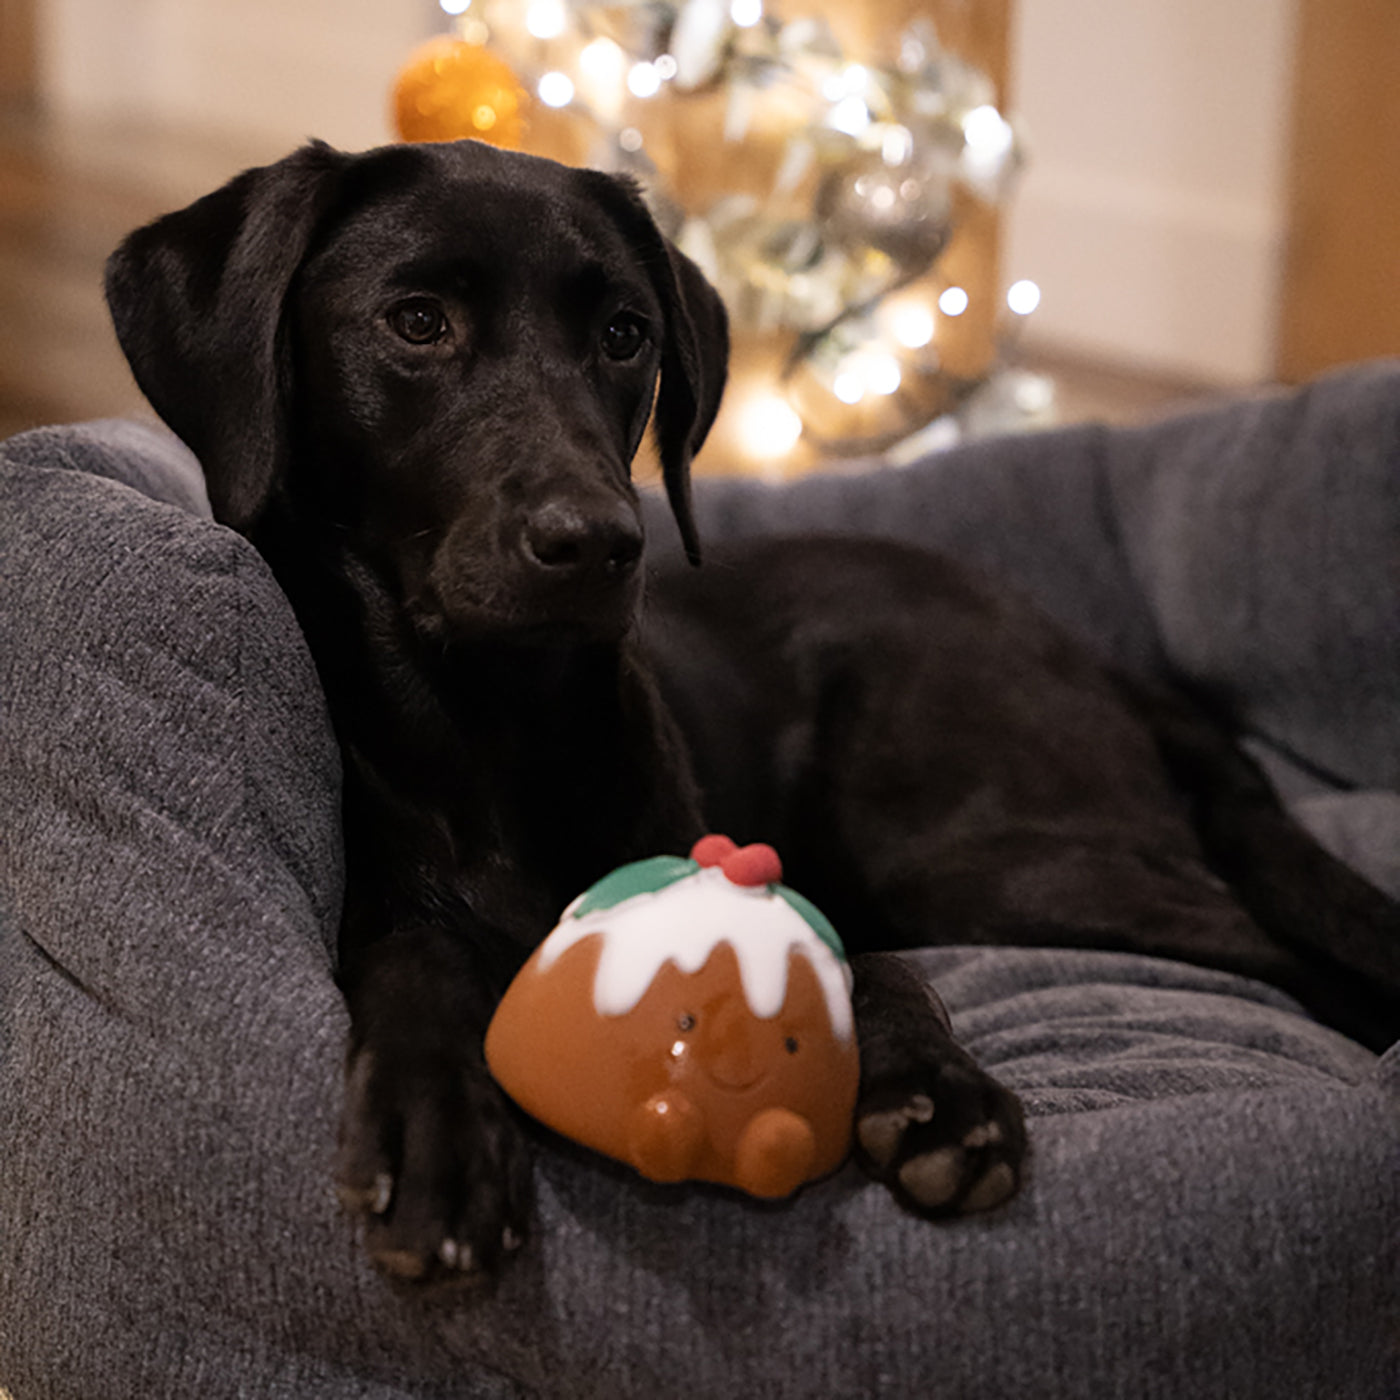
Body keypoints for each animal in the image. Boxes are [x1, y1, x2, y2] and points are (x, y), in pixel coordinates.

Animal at [106, 136, 1400, 1282]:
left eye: (623, 334)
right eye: (416, 321)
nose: (597, 543)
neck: (500, 727)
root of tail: (1080, 643)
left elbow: (881, 971)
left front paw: (943, 1095)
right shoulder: (380, 911)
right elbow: (411, 959)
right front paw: (437, 1125)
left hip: (981, 850)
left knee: (1279, 950)